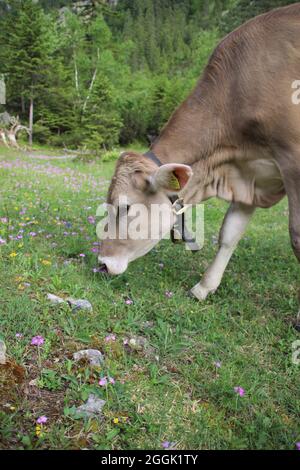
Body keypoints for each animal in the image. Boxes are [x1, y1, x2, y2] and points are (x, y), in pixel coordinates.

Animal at [99, 4, 300, 302]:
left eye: (125, 207)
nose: (102, 263)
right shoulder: (249, 175)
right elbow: (229, 232)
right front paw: (204, 287)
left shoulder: (293, 162)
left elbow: (296, 236)